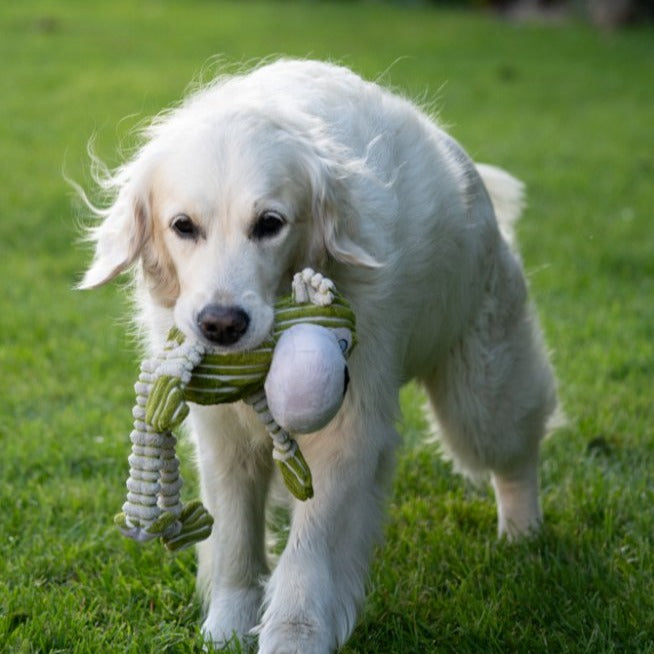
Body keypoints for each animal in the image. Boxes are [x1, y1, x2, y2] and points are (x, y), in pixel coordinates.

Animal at [78, 59, 560, 652]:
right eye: (183, 226)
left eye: (269, 224)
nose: (221, 325)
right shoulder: (222, 435)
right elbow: (234, 534)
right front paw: (228, 625)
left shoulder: (347, 429)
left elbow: (312, 551)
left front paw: (293, 635)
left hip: (481, 392)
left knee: (514, 454)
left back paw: (523, 534)